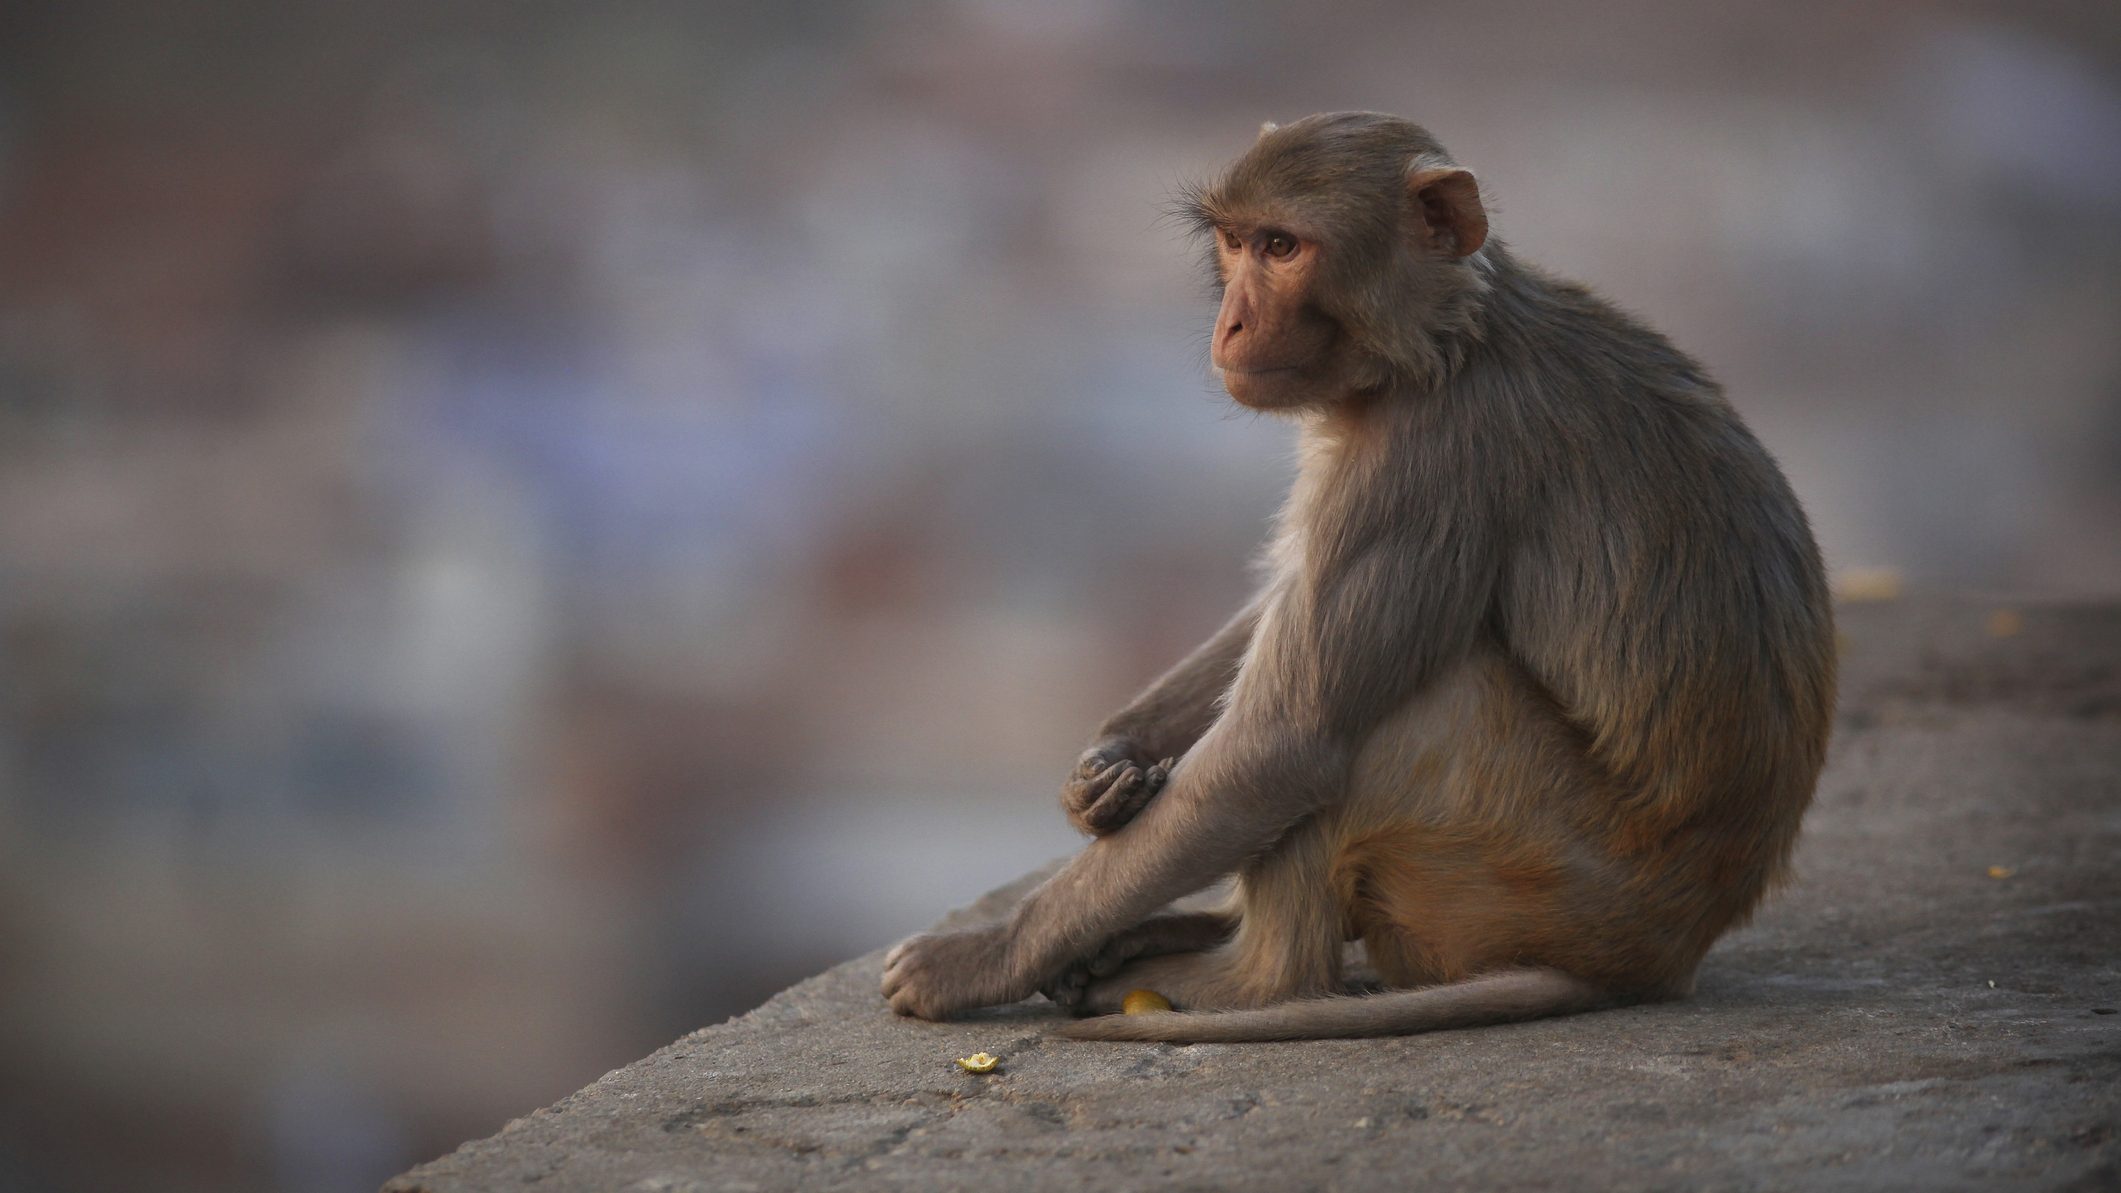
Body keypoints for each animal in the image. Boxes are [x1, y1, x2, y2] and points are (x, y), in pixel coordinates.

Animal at [878, 113, 1841, 1040]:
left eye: (1282, 248)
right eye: (1235, 242)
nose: (1230, 323)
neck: (1448, 343)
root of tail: (1657, 956)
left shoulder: (1426, 458)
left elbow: (1282, 745)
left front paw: (979, 957)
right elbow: (1280, 602)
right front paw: (1106, 767)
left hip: (1536, 874)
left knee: (1409, 714)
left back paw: (1247, 979)